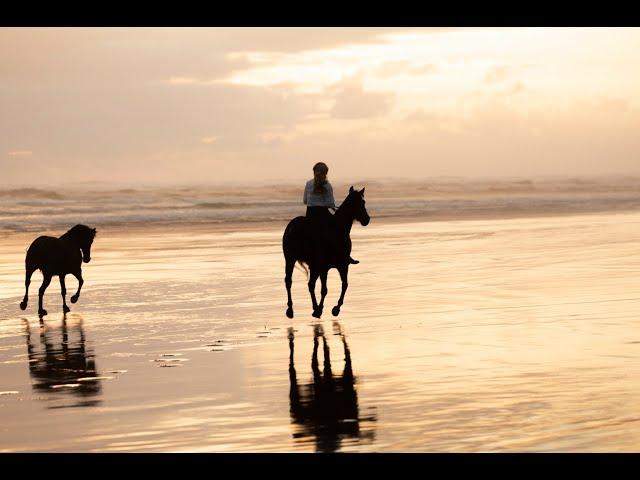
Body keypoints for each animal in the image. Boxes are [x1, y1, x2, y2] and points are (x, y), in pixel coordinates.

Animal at [282, 187, 368, 318]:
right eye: (361, 203)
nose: (367, 219)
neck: (337, 229)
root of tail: (292, 228)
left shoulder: (341, 266)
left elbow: (344, 285)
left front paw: (334, 308)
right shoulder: (326, 267)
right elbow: (325, 289)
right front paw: (325, 309)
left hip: (304, 263)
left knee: (305, 284)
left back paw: (305, 308)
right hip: (292, 260)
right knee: (293, 282)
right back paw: (295, 309)